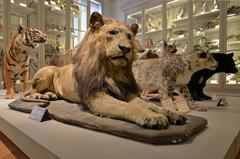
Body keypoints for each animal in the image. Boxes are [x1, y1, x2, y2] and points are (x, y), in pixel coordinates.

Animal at [21, 12, 186, 129]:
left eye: (129, 36)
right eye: (112, 33)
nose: (125, 48)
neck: (112, 69)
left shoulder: (125, 92)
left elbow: (150, 105)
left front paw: (172, 113)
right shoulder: (96, 96)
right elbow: (128, 107)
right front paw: (152, 117)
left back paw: (50, 94)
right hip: (47, 72)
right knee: (33, 91)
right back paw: (42, 96)